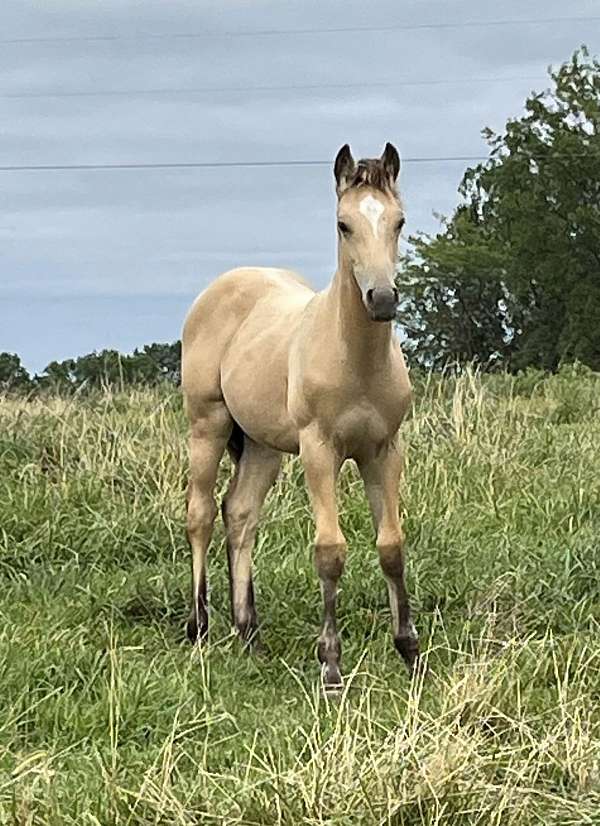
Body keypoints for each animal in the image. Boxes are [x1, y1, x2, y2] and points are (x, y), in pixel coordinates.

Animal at [180, 143, 420, 688]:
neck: (354, 360)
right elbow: (329, 551)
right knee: (200, 515)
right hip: (207, 425)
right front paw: (330, 664)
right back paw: (200, 628)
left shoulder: (383, 451)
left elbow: (391, 546)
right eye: (343, 224)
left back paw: (249, 634)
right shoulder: (319, 451)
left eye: (398, 221)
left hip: (262, 445)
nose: (382, 299)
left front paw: (409, 650)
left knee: (240, 514)